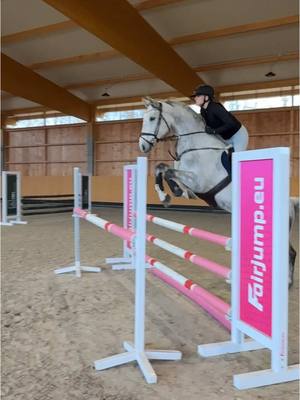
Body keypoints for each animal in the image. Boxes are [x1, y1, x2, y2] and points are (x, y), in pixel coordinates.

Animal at [139, 97, 298, 286]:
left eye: (152, 118)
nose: (142, 146)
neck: (196, 146)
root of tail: (290, 202)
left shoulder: (199, 182)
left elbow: (170, 173)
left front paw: (174, 193)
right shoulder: (186, 177)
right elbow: (161, 168)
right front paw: (166, 195)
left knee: (289, 252)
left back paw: (286, 281)